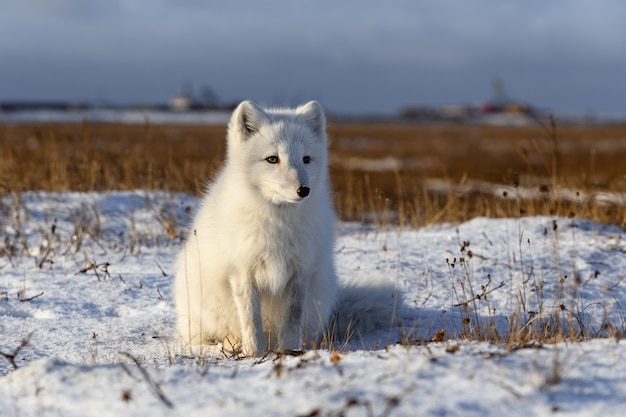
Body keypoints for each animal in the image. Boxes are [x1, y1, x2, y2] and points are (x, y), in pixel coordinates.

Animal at [172, 99, 394, 356]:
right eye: (272, 159)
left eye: (306, 159)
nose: (303, 190)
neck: (278, 222)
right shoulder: (242, 273)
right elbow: (250, 320)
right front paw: (254, 354)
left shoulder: (300, 272)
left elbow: (291, 320)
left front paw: (289, 351)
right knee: (208, 338)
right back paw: (231, 343)